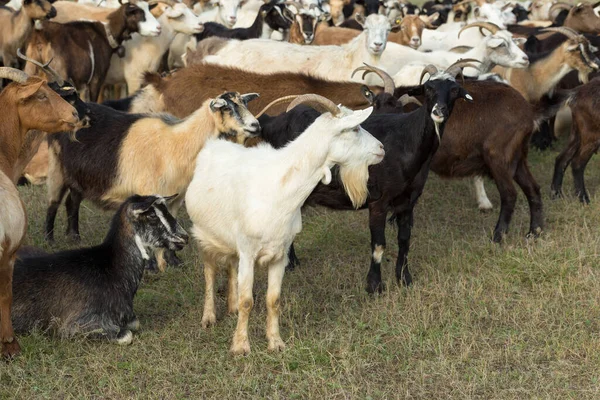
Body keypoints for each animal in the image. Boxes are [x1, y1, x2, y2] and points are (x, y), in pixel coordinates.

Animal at [12, 195, 190, 344]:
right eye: (152, 215)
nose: (184, 237)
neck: (111, 270)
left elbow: (135, 324)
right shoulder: (76, 323)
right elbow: (126, 336)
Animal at [186, 94, 384, 356]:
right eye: (355, 128)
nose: (382, 148)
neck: (279, 187)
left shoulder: (280, 254)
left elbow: (274, 300)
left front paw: (276, 342)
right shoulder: (248, 252)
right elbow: (247, 300)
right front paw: (240, 346)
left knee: (229, 265)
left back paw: (230, 306)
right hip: (203, 234)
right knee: (209, 271)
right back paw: (209, 317)